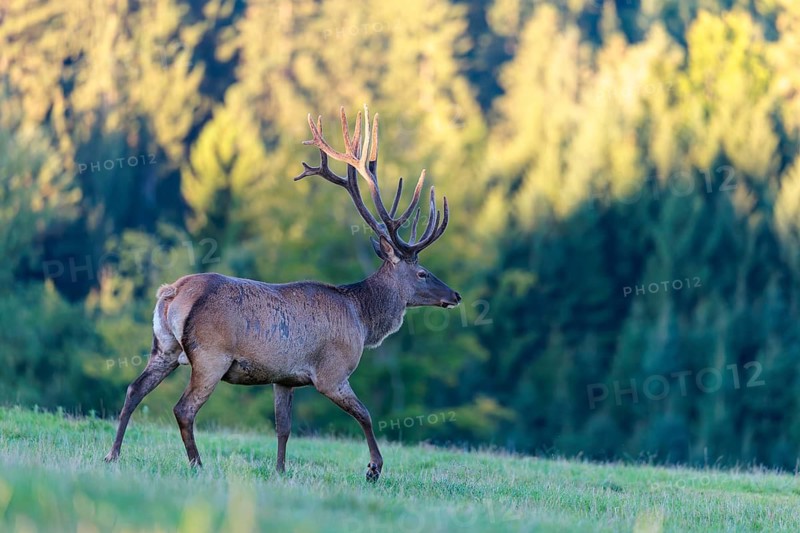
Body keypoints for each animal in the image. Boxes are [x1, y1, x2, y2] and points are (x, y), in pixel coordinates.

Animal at [104, 105, 461, 482]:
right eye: (422, 273)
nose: (454, 295)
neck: (363, 321)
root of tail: (172, 292)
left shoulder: (284, 377)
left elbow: (283, 427)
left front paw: (279, 470)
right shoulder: (331, 372)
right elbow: (364, 413)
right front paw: (374, 468)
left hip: (164, 347)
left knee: (134, 389)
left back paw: (113, 455)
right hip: (210, 355)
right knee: (183, 408)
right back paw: (197, 464)